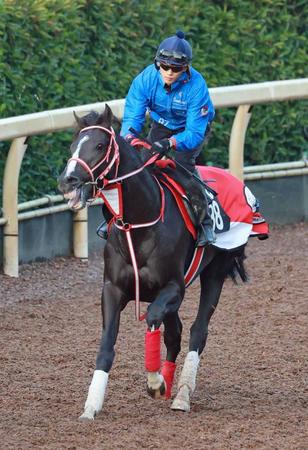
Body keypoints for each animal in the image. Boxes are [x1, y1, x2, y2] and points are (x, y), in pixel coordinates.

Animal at [57, 104, 268, 418]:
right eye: (73, 145)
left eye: (99, 145)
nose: (68, 180)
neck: (138, 223)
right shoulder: (113, 289)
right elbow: (107, 344)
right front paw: (91, 407)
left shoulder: (173, 287)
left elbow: (153, 318)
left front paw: (155, 382)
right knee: (177, 332)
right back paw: (170, 386)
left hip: (215, 273)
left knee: (197, 332)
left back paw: (181, 394)